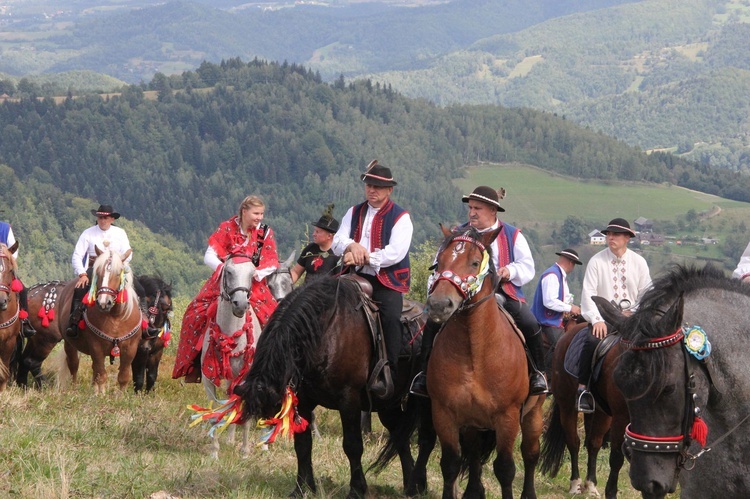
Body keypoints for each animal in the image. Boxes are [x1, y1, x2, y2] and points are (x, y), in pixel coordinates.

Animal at [200, 256, 262, 458]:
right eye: (228, 272)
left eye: (252, 273)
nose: (240, 304)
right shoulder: (208, 378)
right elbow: (214, 413)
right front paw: (214, 452)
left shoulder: (247, 379)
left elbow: (246, 415)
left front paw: (245, 452)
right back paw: (229, 438)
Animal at [238, 276, 432, 499]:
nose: (267, 440)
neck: (326, 331)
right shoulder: (303, 402)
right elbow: (303, 446)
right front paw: (302, 488)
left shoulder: (349, 400)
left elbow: (352, 445)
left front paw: (357, 489)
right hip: (389, 406)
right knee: (401, 438)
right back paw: (413, 485)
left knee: (425, 441)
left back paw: (416, 483)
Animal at [420, 227, 544, 499]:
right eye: (438, 263)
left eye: (475, 263)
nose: (439, 305)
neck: (474, 353)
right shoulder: (444, 413)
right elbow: (451, 464)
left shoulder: (507, 417)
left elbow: (506, 468)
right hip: (472, 423)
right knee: (475, 454)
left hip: (533, 414)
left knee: (530, 455)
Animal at [544, 320, 632, 499]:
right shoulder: (621, 417)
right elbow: (617, 457)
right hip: (567, 406)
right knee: (573, 442)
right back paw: (575, 484)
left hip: (602, 413)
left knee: (593, 443)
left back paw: (590, 485)